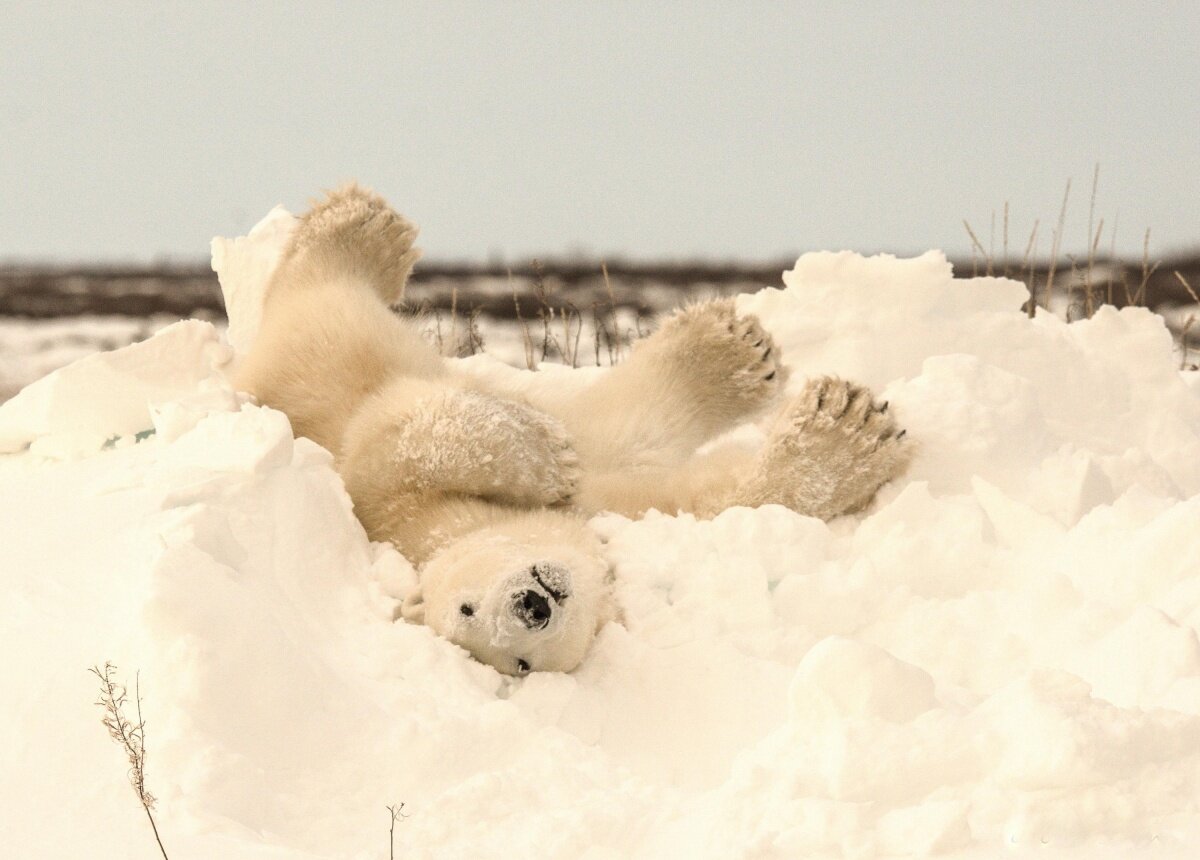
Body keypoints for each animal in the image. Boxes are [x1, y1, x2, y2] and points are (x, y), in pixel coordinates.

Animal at [236, 184, 907, 676]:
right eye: (519, 664)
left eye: (468, 604)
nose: (531, 605)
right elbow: (704, 494)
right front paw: (845, 437)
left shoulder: (405, 507)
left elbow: (387, 443)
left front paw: (549, 454)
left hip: (325, 354)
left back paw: (361, 225)